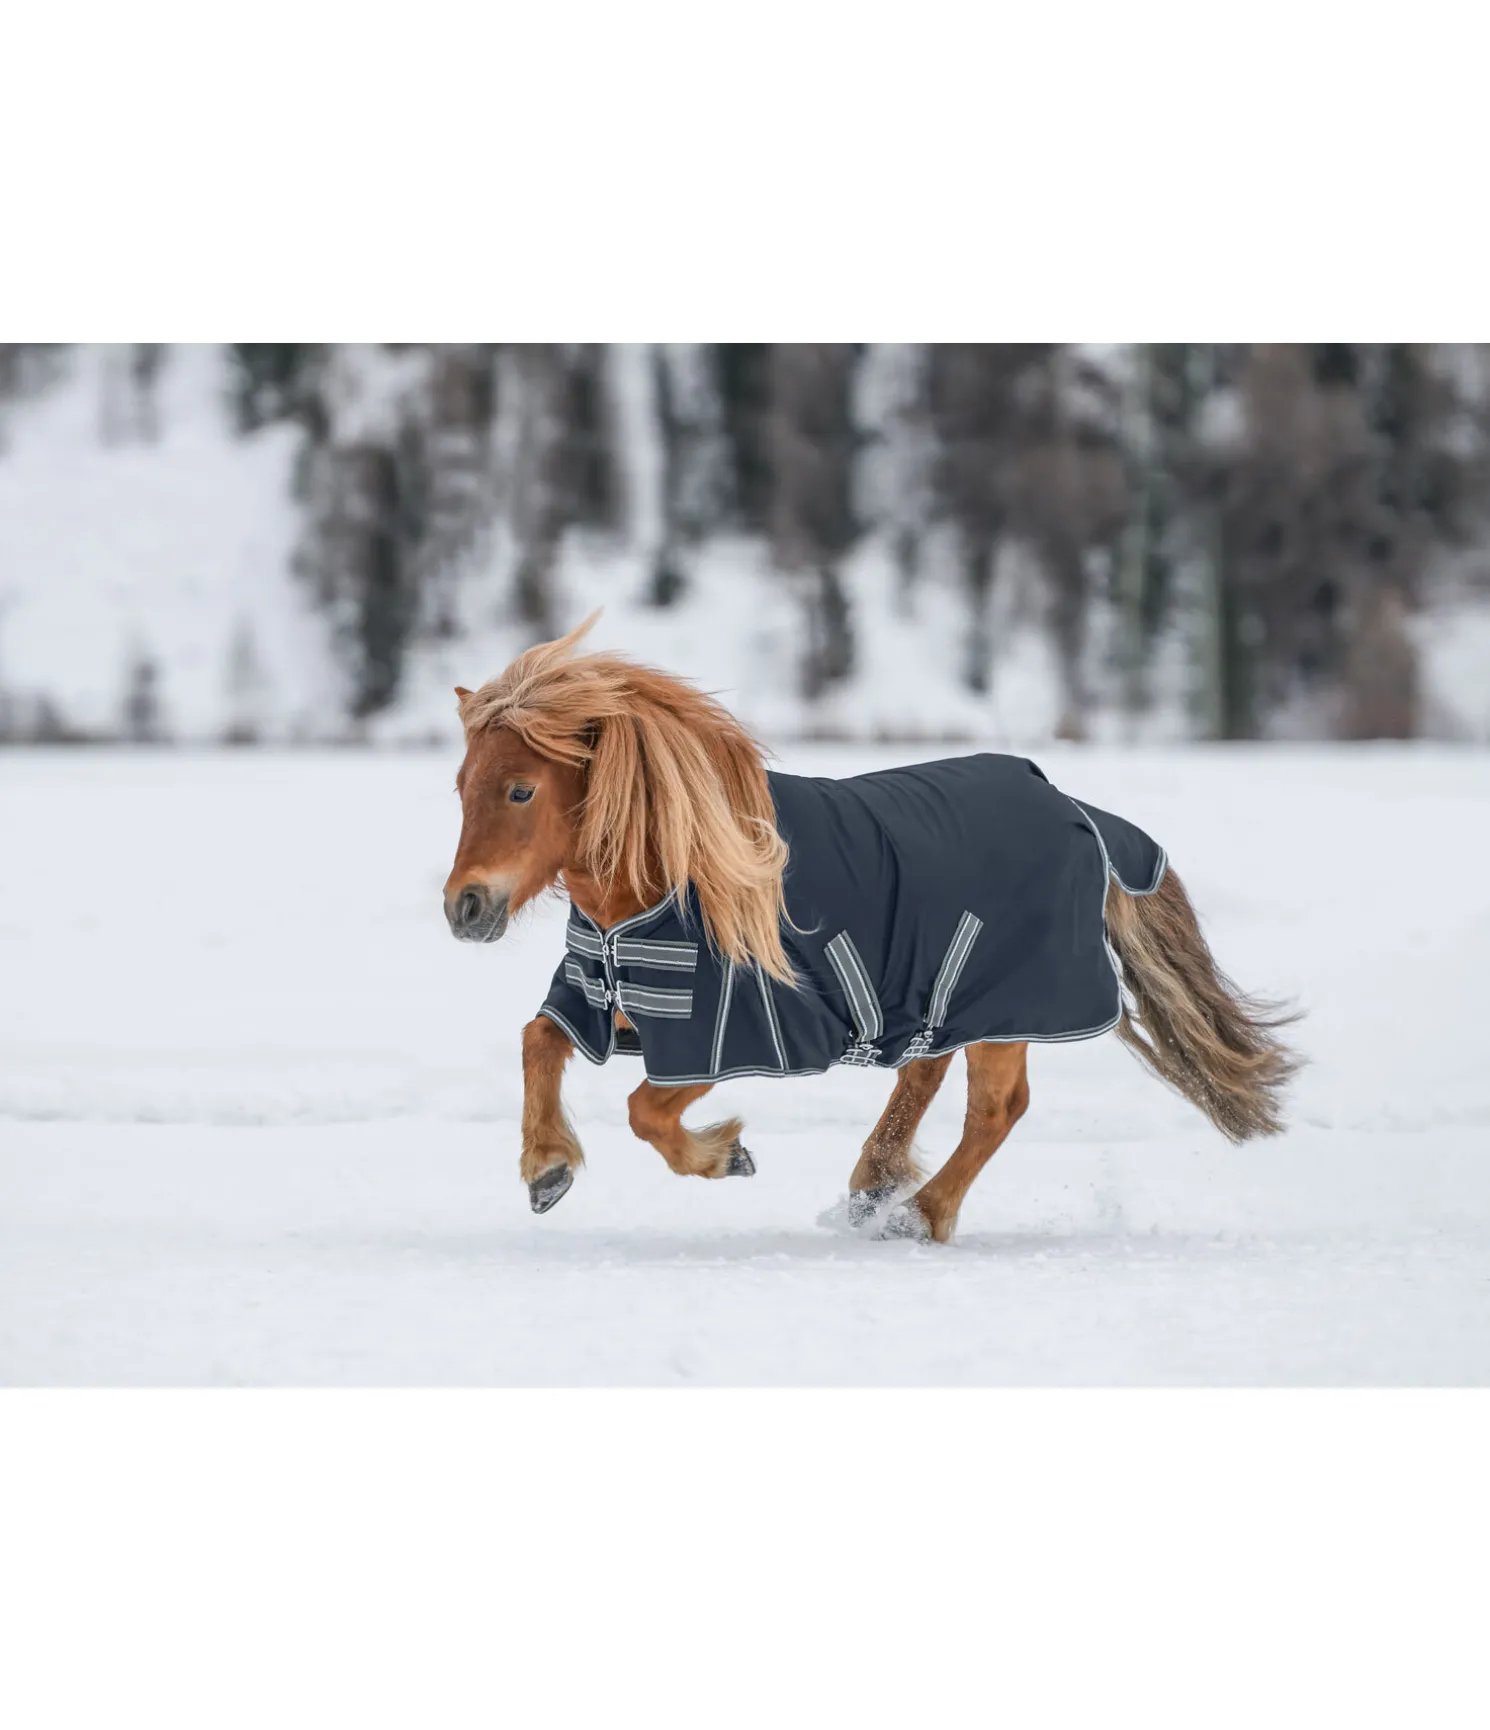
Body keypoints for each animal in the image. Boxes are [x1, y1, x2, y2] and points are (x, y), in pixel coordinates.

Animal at [443, 614, 1301, 1244]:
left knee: (997, 1107)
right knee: (927, 1074)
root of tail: (1074, 808)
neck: (665, 878)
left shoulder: (738, 1030)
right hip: (939, 998)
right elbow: (537, 1038)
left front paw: (726, 1156)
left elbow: (644, 1111)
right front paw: (546, 1168)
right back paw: (872, 1190)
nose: (465, 907)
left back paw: (917, 1215)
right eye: (460, 786)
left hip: (1007, 1003)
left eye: (520, 790)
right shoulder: (609, 994)